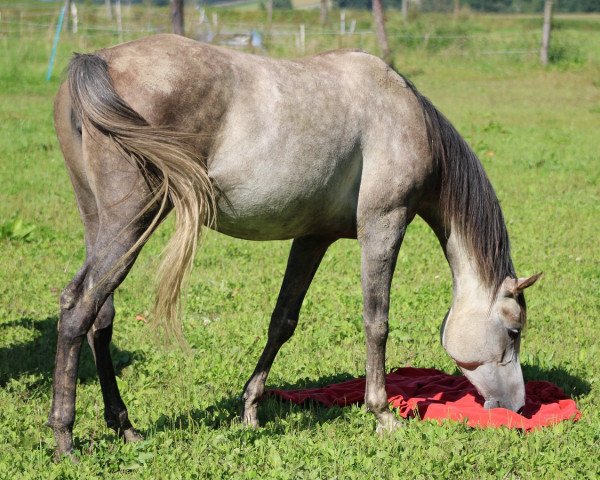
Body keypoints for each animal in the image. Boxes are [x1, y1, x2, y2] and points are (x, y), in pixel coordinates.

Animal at [49, 32, 540, 458]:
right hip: (132, 221)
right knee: (79, 305)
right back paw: (64, 437)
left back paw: (124, 426)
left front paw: (250, 408)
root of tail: (98, 60)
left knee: (100, 315)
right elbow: (376, 322)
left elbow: (282, 321)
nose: (519, 408)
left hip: (100, 222)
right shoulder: (384, 224)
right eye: (513, 331)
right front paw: (382, 414)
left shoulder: (312, 238)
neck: (404, 116)